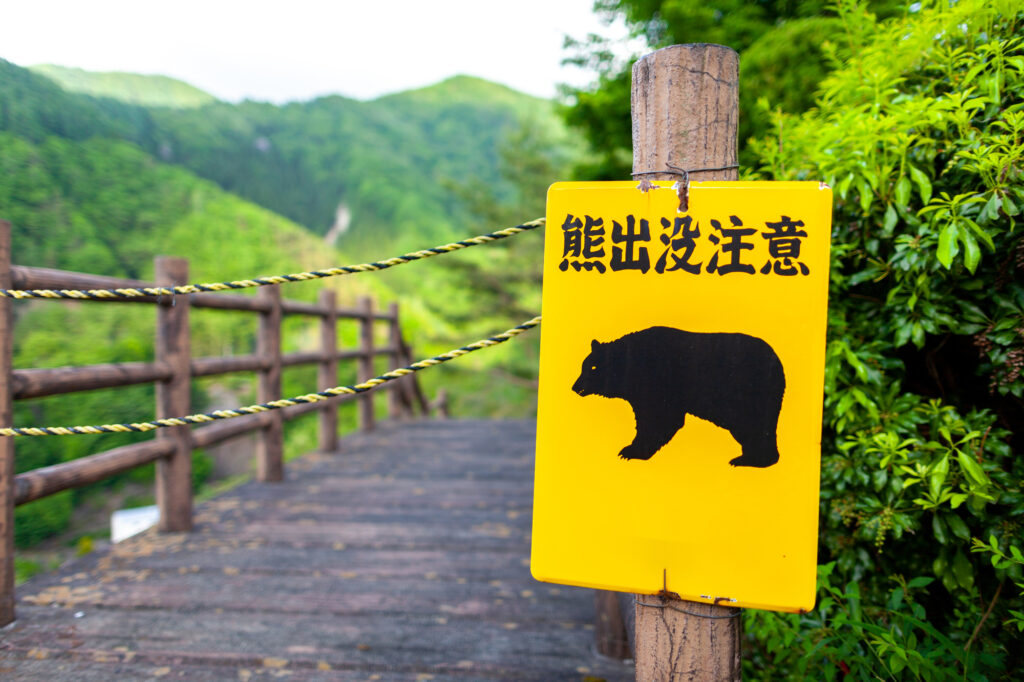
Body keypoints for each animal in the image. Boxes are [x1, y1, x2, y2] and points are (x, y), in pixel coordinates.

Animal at [571, 326, 785, 467]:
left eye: (592, 367)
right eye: (583, 366)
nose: (575, 387)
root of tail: (777, 362)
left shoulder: (657, 384)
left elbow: (659, 419)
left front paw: (631, 451)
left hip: (747, 396)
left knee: (753, 426)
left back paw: (751, 460)